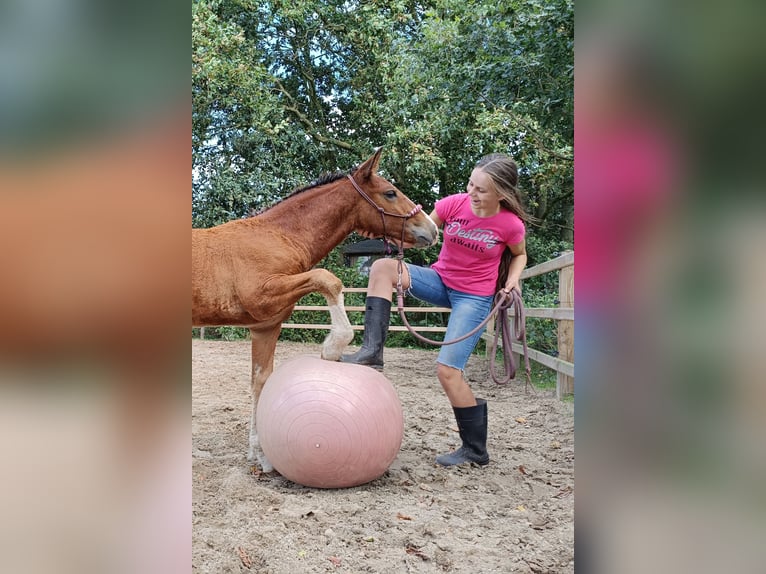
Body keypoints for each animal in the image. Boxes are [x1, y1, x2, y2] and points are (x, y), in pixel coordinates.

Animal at [191, 148, 438, 471]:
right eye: (390, 192)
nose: (432, 230)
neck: (277, 237)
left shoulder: (265, 326)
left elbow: (261, 381)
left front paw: (259, 454)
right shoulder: (262, 295)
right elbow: (328, 279)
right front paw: (333, 347)